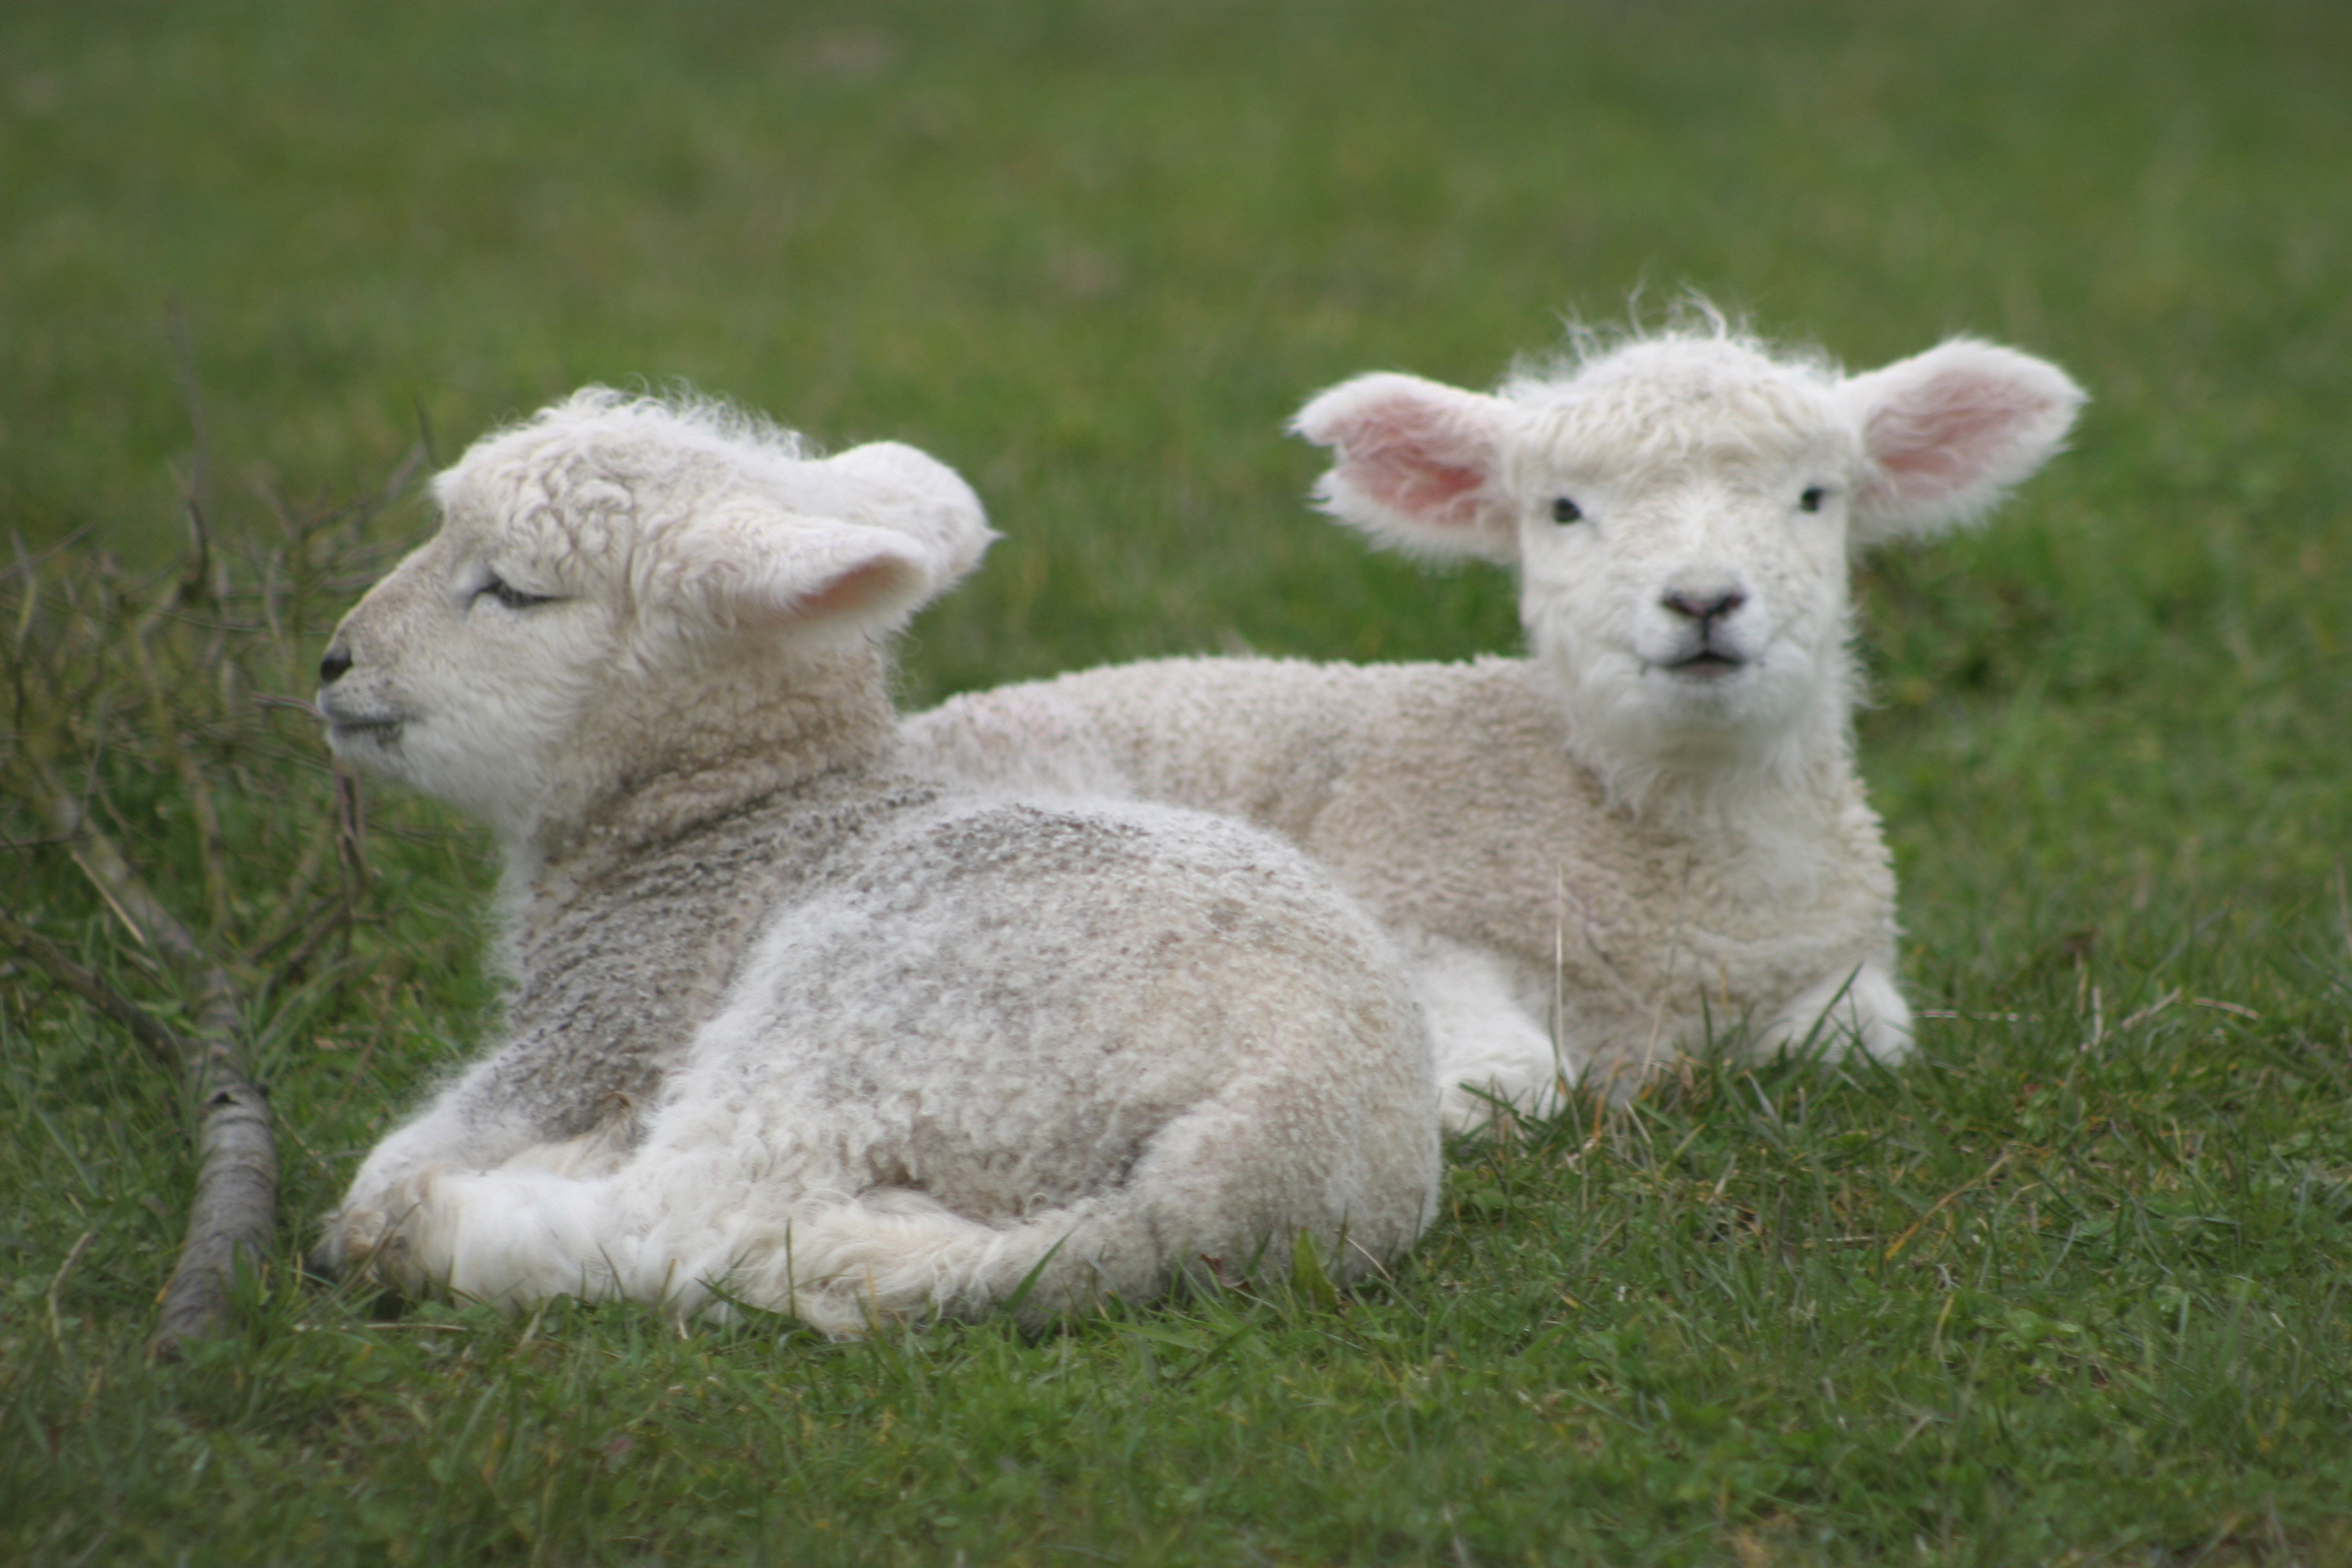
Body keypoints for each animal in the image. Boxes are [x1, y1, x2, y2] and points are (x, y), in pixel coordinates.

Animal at [303, 385, 1439, 1335]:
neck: (732, 818)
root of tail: (1254, 1157)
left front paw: (389, 1209)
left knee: (685, 1223)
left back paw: (451, 1226)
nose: (333, 662)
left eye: (514, 592)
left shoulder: (610, 1017)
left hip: (867, 1024)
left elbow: (398, 1160)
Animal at [907, 322, 2088, 1114]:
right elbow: (1511, 1083)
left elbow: (1861, 1042)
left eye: (1814, 497)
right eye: (1562, 510)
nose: (1704, 602)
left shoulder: (1839, 957)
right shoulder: (1411, 902)